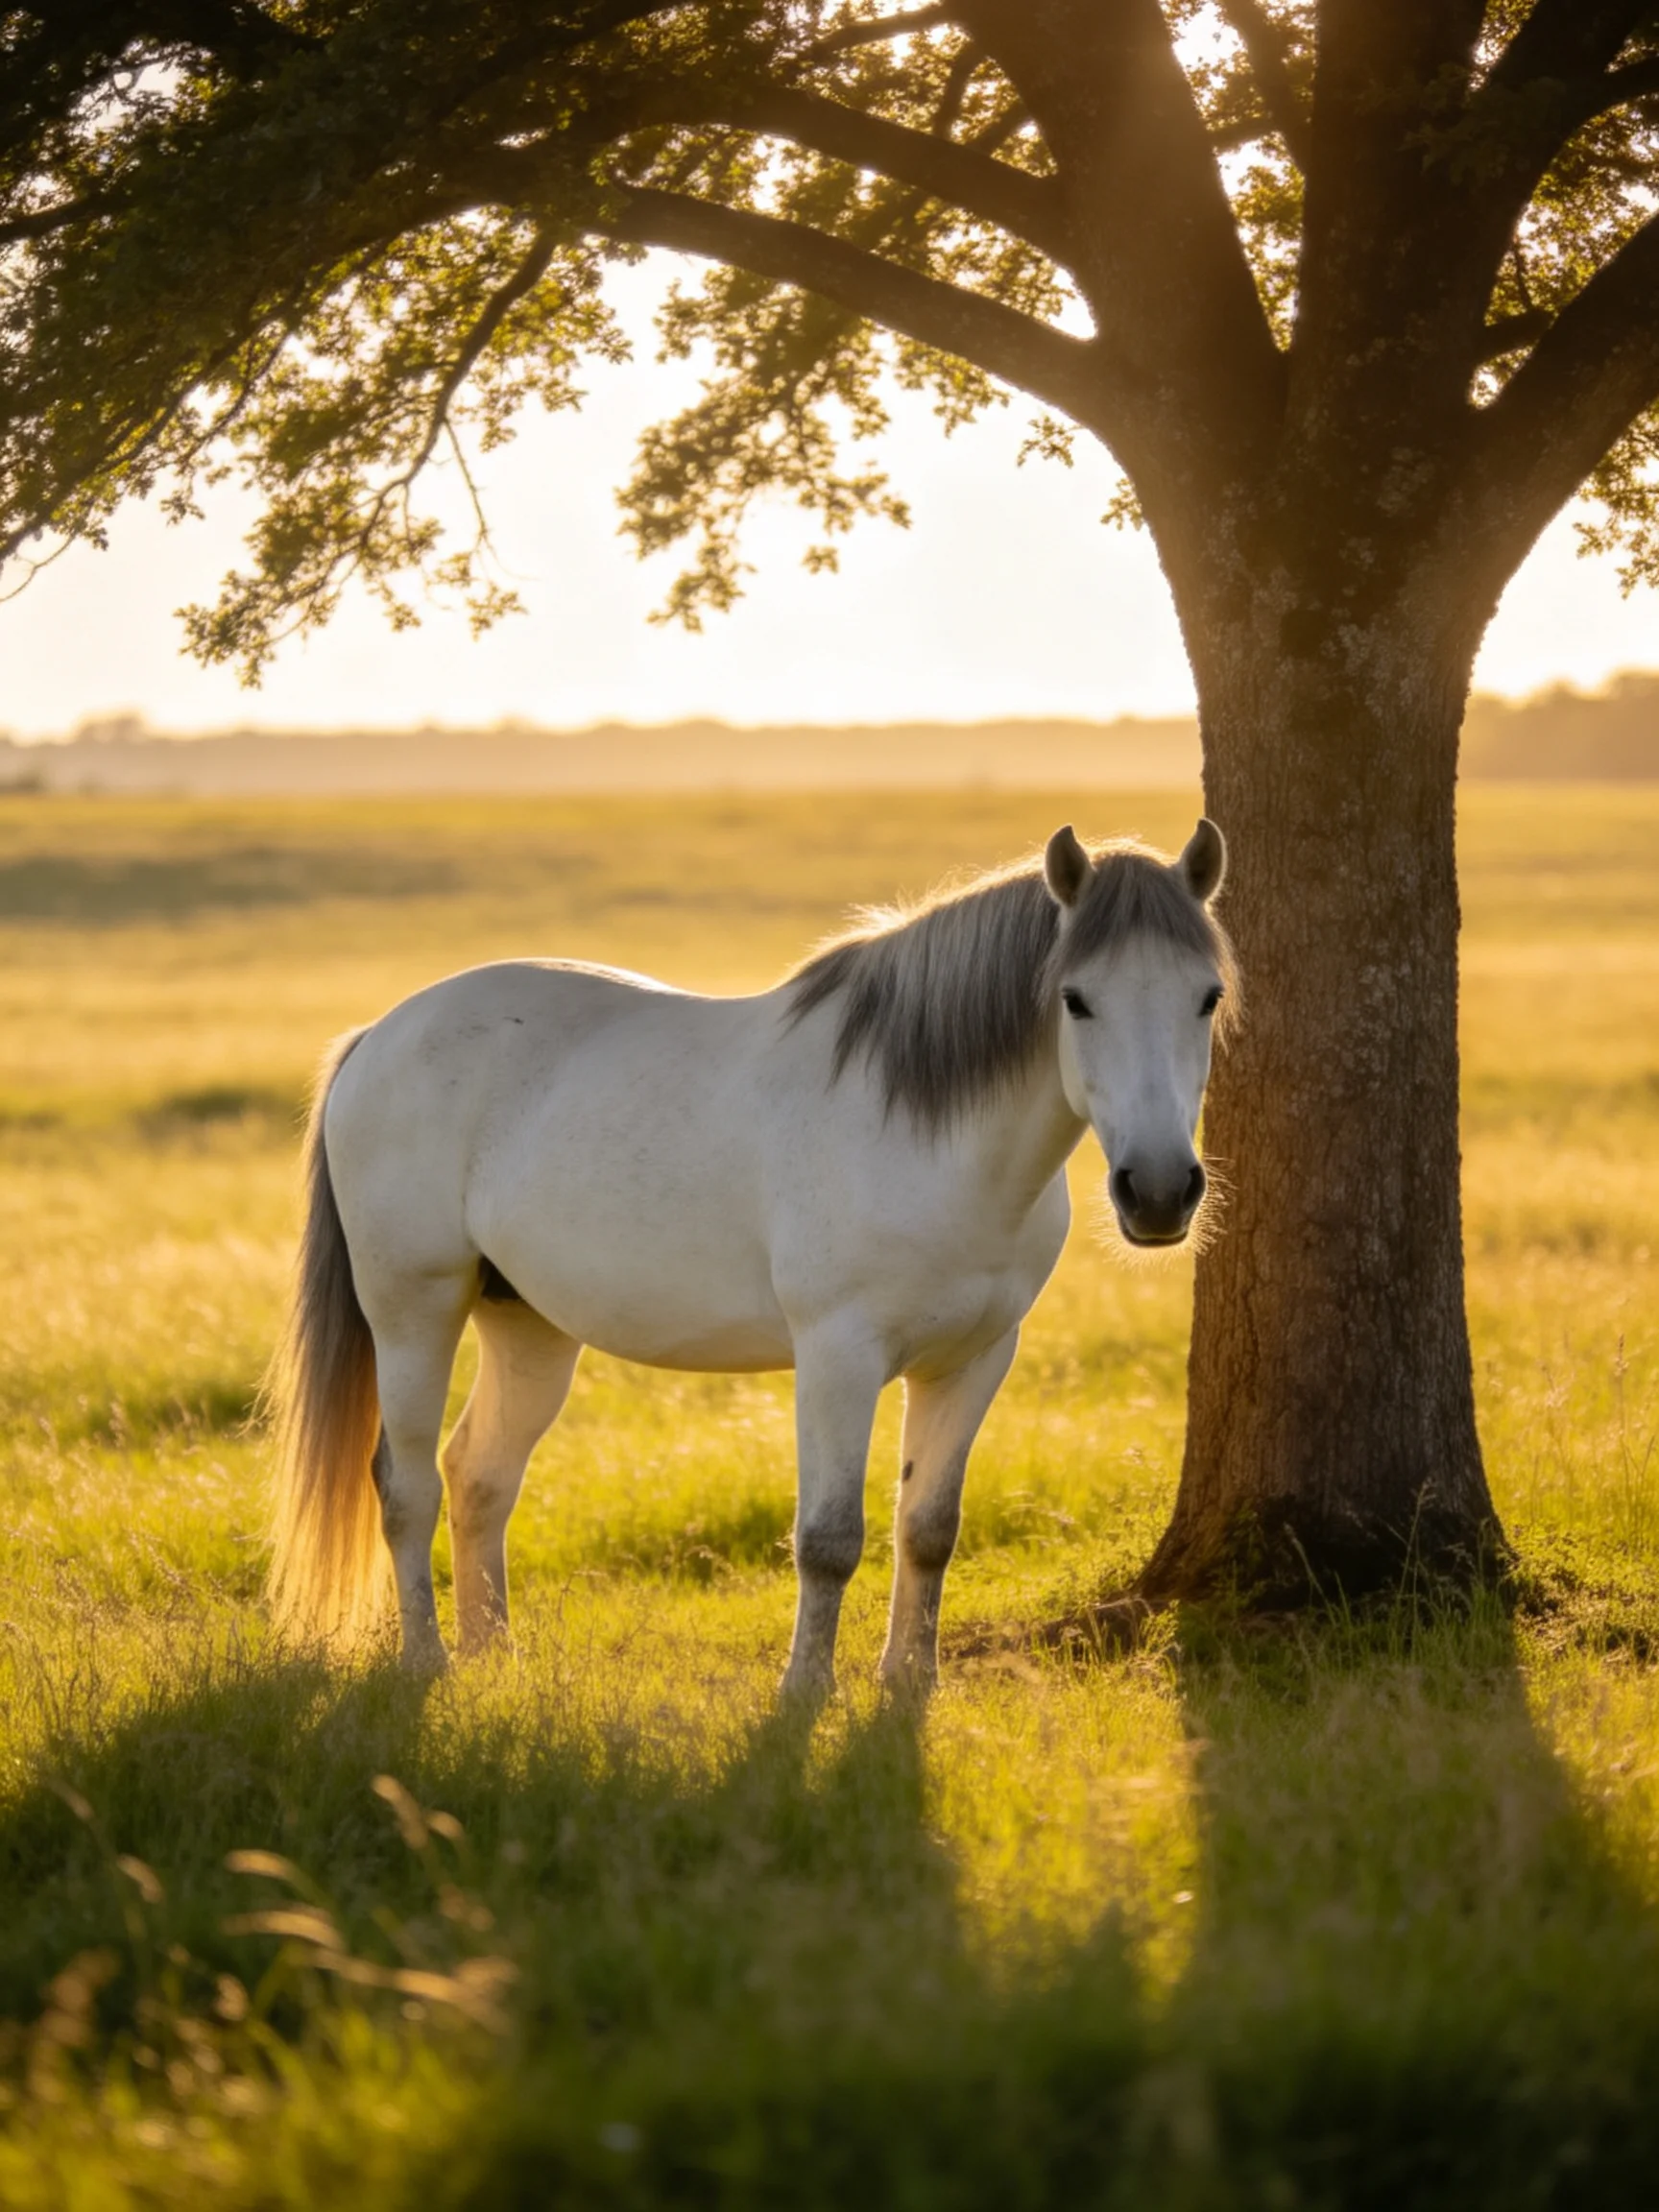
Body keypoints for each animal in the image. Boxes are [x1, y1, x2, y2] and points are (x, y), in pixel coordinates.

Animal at [267, 819, 1235, 1696]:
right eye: (1076, 999)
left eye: (1208, 997)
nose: (1157, 1192)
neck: (929, 1136)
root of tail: (380, 1036)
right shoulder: (839, 1357)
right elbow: (829, 1539)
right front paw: (804, 1692)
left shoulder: (974, 1359)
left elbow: (929, 1527)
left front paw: (908, 1684)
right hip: (413, 1312)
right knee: (405, 1484)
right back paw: (427, 1661)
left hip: (528, 1325)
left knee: (479, 1476)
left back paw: (492, 1660)